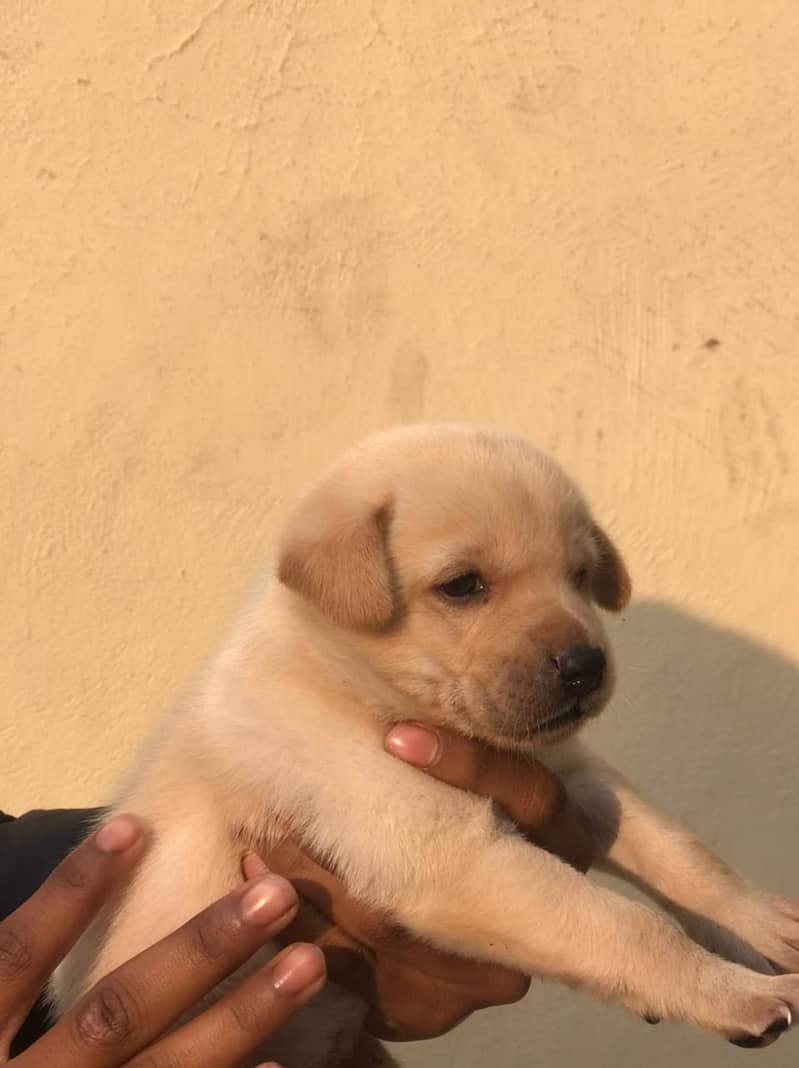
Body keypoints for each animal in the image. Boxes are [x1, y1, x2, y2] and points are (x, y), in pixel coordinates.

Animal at [51, 427, 799, 1068]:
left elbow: (685, 857)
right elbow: (626, 926)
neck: (353, 684)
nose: (587, 665)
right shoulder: (447, 851)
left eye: (582, 577)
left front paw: (762, 926)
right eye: (463, 585)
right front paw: (735, 994)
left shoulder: (576, 776)